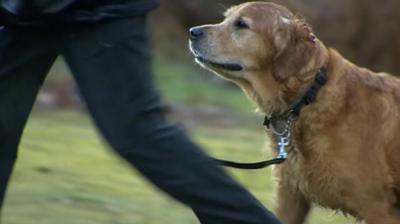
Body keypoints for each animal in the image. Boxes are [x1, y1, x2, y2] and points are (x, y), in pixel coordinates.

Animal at [189, 1, 400, 224]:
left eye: (241, 24)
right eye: (226, 18)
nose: (192, 32)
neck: (308, 97)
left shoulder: (377, 207)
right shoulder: (290, 197)